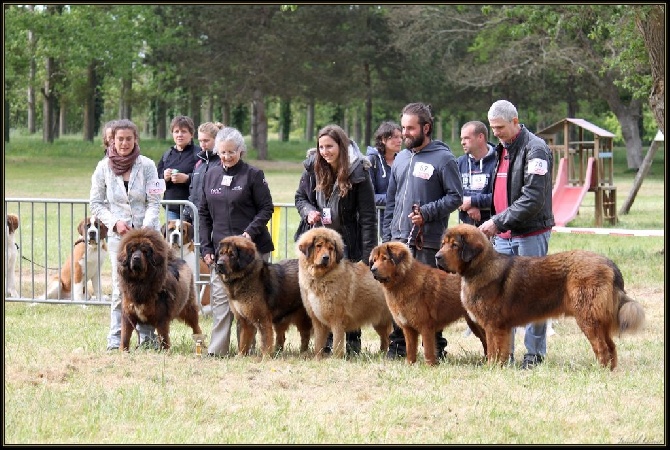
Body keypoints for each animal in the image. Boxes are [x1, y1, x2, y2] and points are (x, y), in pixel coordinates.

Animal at [436, 223, 644, 370]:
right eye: (443, 244)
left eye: (455, 245)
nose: (437, 257)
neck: (480, 266)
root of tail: (609, 264)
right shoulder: (501, 327)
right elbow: (501, 350)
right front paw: (500, 367)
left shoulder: (493, 325)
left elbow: (493, 349)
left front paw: (491, 368)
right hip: (600, 320)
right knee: (611, 346)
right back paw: (611, 370)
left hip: (588, 317)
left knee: (601, 347)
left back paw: (600, 370)